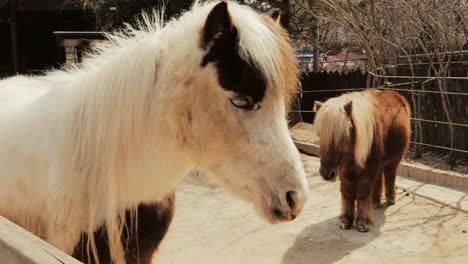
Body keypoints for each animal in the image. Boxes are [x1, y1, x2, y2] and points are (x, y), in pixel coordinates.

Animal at [314, 89, 410, 232]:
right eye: (320, 135)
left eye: (343, 136)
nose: (326, 173)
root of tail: (397, 95)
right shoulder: (345, 172)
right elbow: (347, 193)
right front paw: (346, 220)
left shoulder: (367, 171)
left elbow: (362, 194)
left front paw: (363, 222)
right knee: (378, 180)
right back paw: (375, 202)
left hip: (392, 161)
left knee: (389, 176)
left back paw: (390, 199)